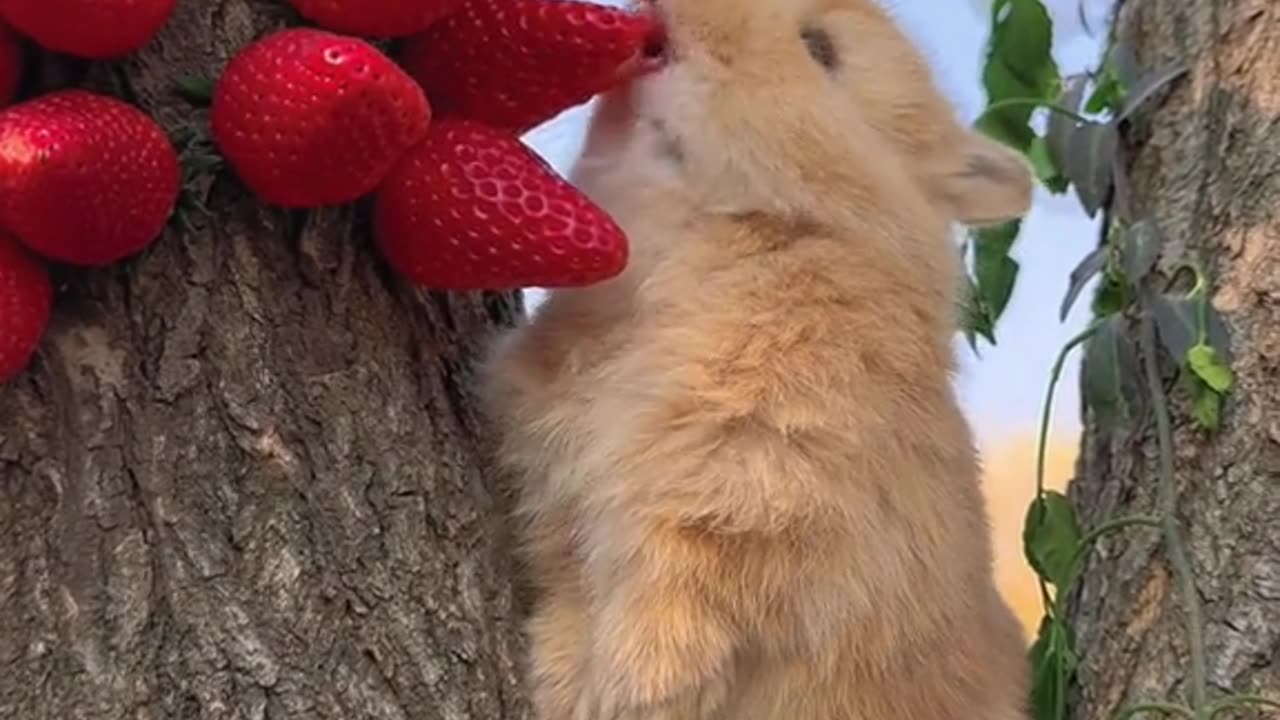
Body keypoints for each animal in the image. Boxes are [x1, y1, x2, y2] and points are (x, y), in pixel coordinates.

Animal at [476, 0, 1034, 712]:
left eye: (820, 50)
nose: (665, 15)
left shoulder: (752, 484)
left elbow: (676, 596)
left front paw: (629, 694)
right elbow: (572, 572)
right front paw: (559, 672)